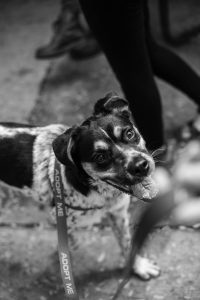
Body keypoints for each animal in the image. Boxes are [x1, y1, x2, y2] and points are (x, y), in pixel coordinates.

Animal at [0, 93, 159, 278]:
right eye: (100, 157)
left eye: (129, 133)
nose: (141, 166)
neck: (102, 195)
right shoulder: (58, 218)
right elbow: (69, 240)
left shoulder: (118, 214)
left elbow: (127, 243)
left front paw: (138, 266)